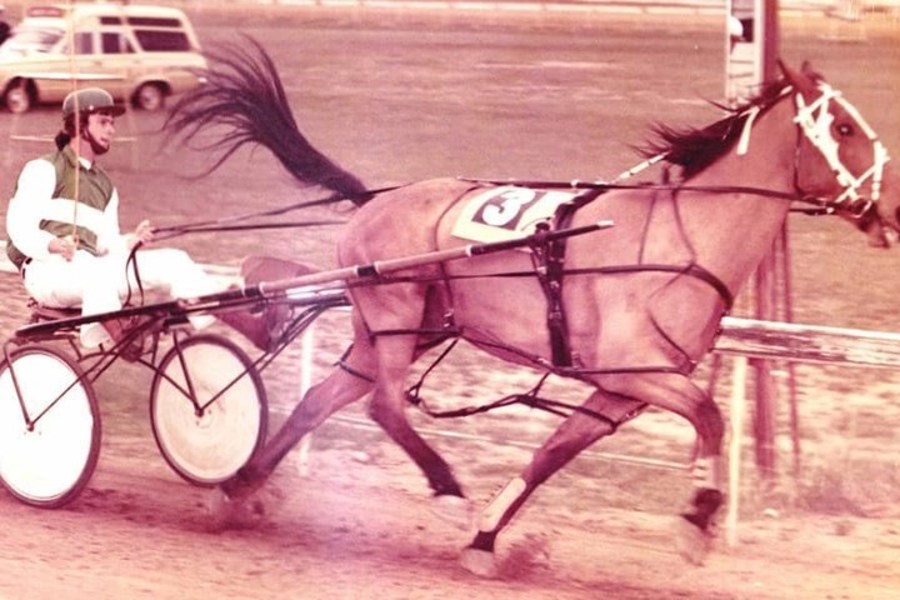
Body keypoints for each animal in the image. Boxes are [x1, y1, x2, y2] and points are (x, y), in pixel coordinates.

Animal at [164, 39, 898, 576]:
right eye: (841, 125)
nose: (891, 206)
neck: (677, 239)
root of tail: (377, 198)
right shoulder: (641, 373)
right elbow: (712, 417)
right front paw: (696, 520)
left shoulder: (616, 392)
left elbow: (549, 456)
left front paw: (486, 543)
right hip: (397, 314)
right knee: (384, 405)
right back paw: (446, 491)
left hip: (402, 327)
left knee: (324, 398)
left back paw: (236, 490)